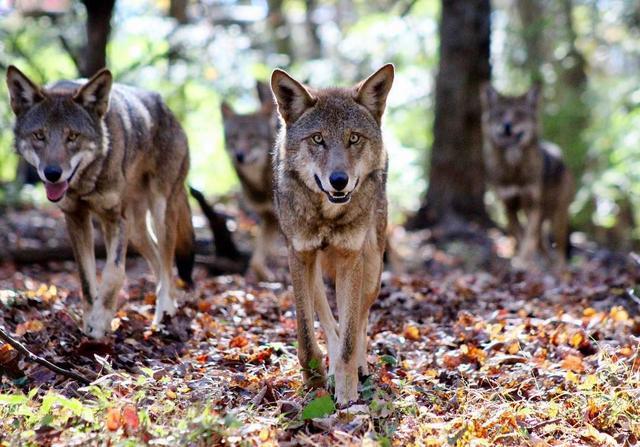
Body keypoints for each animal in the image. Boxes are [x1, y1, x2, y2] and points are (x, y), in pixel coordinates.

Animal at [6, 65, 195, 340]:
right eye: (39, 135)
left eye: (73, 136)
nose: (52, 173)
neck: (86, 182)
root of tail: (166, 108)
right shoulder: (76, 219)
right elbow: (87, 279)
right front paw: (89, 322)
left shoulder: (114, 218)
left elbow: (114, 273)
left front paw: (100, 323)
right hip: (136, 231)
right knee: (159, 262)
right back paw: (168, 310)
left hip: (160, 213)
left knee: (168, 264)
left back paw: (163, 314)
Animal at [220, 82, 278, 282]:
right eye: (234, 138)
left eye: (252, 137)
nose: (239, 156)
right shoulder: (269, 217)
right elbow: (256, 260)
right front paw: (264, 276)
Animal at [272, 65, 396, 404]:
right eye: (318, 139)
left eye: (353, 138)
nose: (339, 180)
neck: (326, 216)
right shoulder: (299, 256)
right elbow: (306, 334)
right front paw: (314, 379)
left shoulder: (351, 258)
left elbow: (351, 338)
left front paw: (347, 392)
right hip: (314, 270)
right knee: (329, 321)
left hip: (372, 268)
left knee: (360, 318)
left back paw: (359, 368)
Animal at [480, 86, 576, 272]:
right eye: (500, 114)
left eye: (519, 114)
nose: (507, 126)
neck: (514, 170)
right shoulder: (509, 206)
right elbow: (520, 235)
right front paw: (525, 262)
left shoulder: (533, 205)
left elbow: (529, 237)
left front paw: (524, 262)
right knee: (541, 242)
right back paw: (545, 262)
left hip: (558, 215)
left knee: (559, 245)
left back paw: (559, 267)